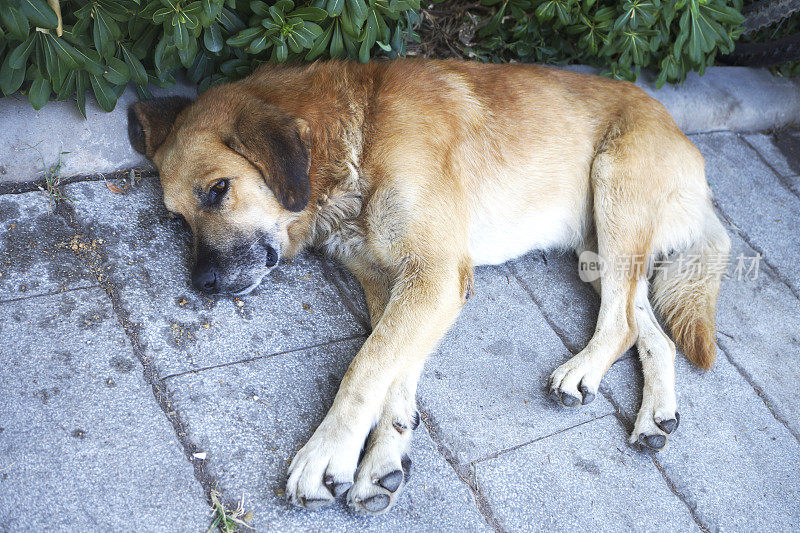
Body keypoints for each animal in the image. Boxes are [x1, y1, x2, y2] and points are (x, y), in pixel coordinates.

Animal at [126, 59, 732, 516]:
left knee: (625, 319)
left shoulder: (435, 275)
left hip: (614, 192)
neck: (358, 133)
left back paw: (582, 369)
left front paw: (329, 452)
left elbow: (366, 366)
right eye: (177, 218)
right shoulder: (392, 282)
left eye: (218, 190)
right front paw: (384, 455)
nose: (202, 285)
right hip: (595, 255)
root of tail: (685, 141)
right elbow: (393, 364)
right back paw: (655, 413)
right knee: (649, 328)